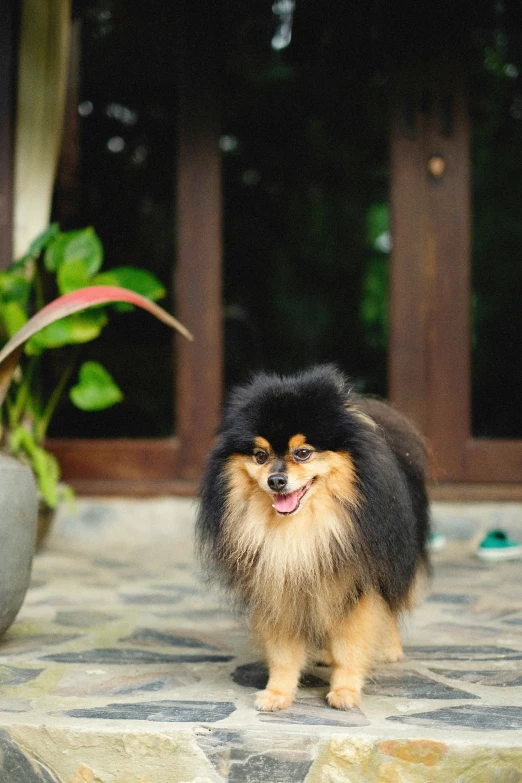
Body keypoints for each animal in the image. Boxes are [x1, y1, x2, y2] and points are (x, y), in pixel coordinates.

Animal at [195, 364, 426, 712]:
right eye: (260, 455)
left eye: (302, 453)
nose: (276, 480)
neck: (301, 531)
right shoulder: (278, 585)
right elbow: (283, 653)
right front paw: (277, 693)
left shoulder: (356, 584)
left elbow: (350, 645)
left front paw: (345, 691)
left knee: (393, 601)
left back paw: (389, 648)